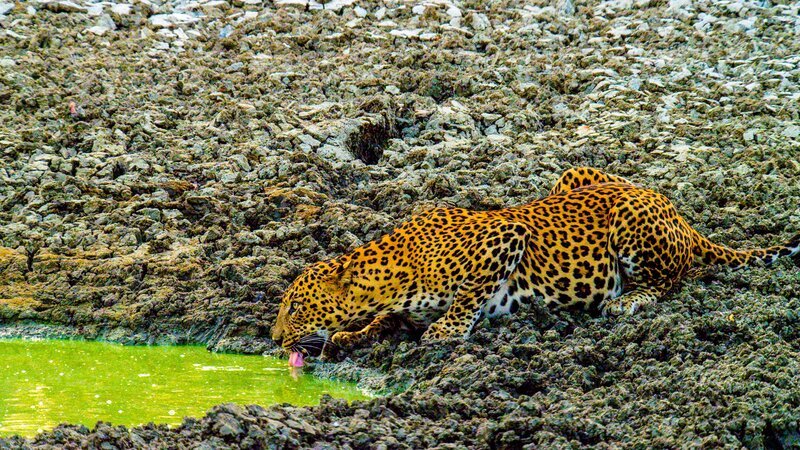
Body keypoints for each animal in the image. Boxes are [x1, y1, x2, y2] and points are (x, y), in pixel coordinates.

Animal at [270, 167, 799, 354]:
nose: (273, 338)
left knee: (671, 278)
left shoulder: (505, 236)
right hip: (573, 175)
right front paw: (356, 333)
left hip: (631, 219)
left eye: (295, 307)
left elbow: (469, 294)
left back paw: (628, 299)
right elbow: (386, 321)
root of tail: (682, 217)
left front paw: (446, 330)